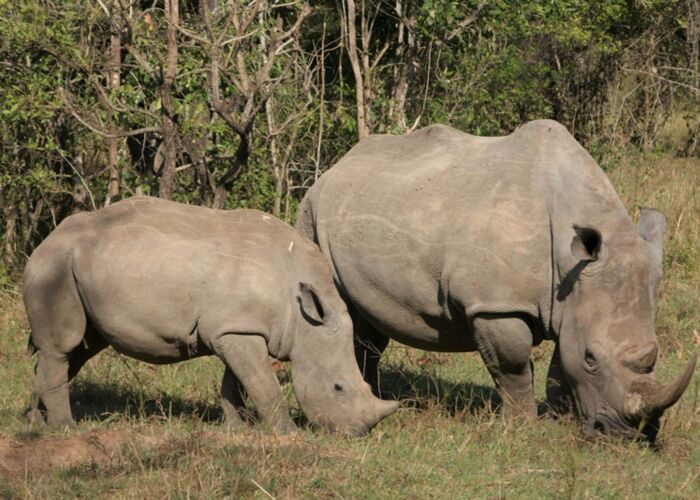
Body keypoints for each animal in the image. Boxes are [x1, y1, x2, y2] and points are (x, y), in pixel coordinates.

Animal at [23, 196, 397, 436]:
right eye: (338, 387)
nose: (357, 433)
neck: (303, 317)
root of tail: (46, 241)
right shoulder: (237, 330)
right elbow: (263, 384)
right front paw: (288, 434)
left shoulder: (234, 329)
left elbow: (237, 382)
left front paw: (237, 429)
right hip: (55, 267)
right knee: (64, 346)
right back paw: (66, 431)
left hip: (77, 270)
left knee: (79, 349)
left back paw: (38, 425)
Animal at [297, 120, 696, 439]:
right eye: (592, 358)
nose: (625, 436)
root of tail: (338, 164)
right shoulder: (497, 305)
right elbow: (513, 367)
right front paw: (523, 426)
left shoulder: (571, 301)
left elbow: (559, 365)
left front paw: (559, 418)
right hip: (311, 210)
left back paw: (374, 396)